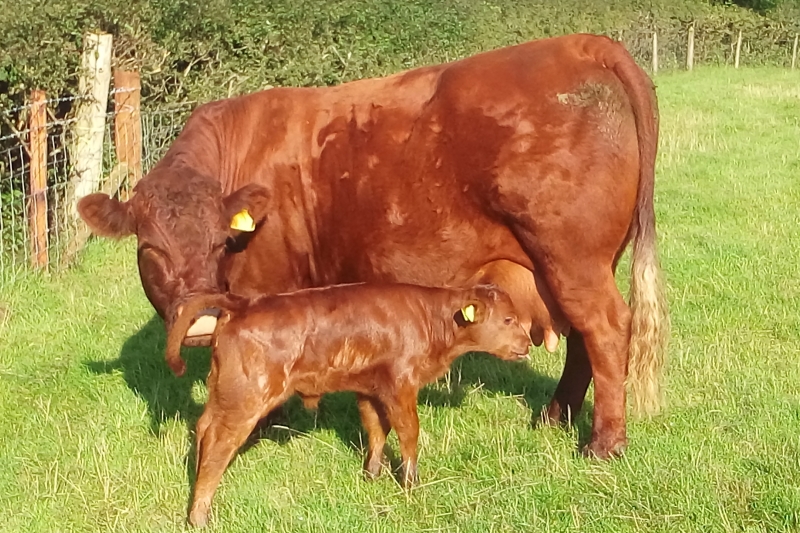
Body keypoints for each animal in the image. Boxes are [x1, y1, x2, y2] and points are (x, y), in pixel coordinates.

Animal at [77, 33, 668, 459]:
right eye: (151, 248)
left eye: (223, 242)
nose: (198, 321)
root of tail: (583, 43)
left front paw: (268, 421)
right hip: (574, 265)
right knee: (584, 340)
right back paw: (554, 416)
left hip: (572, 257)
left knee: (606, 330)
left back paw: (603, 443)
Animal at [166, 283, 533, 527]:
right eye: (509, 320)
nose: (528, 344)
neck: (430, 320)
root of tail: (244, 303)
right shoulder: (401, 384)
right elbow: (408, 432)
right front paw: (411, 483)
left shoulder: (369, 388)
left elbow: (376, 429)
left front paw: (372, 474)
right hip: (247, 398)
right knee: (219, 444)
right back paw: (200, 515)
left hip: (224, 393)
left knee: (203, 430)